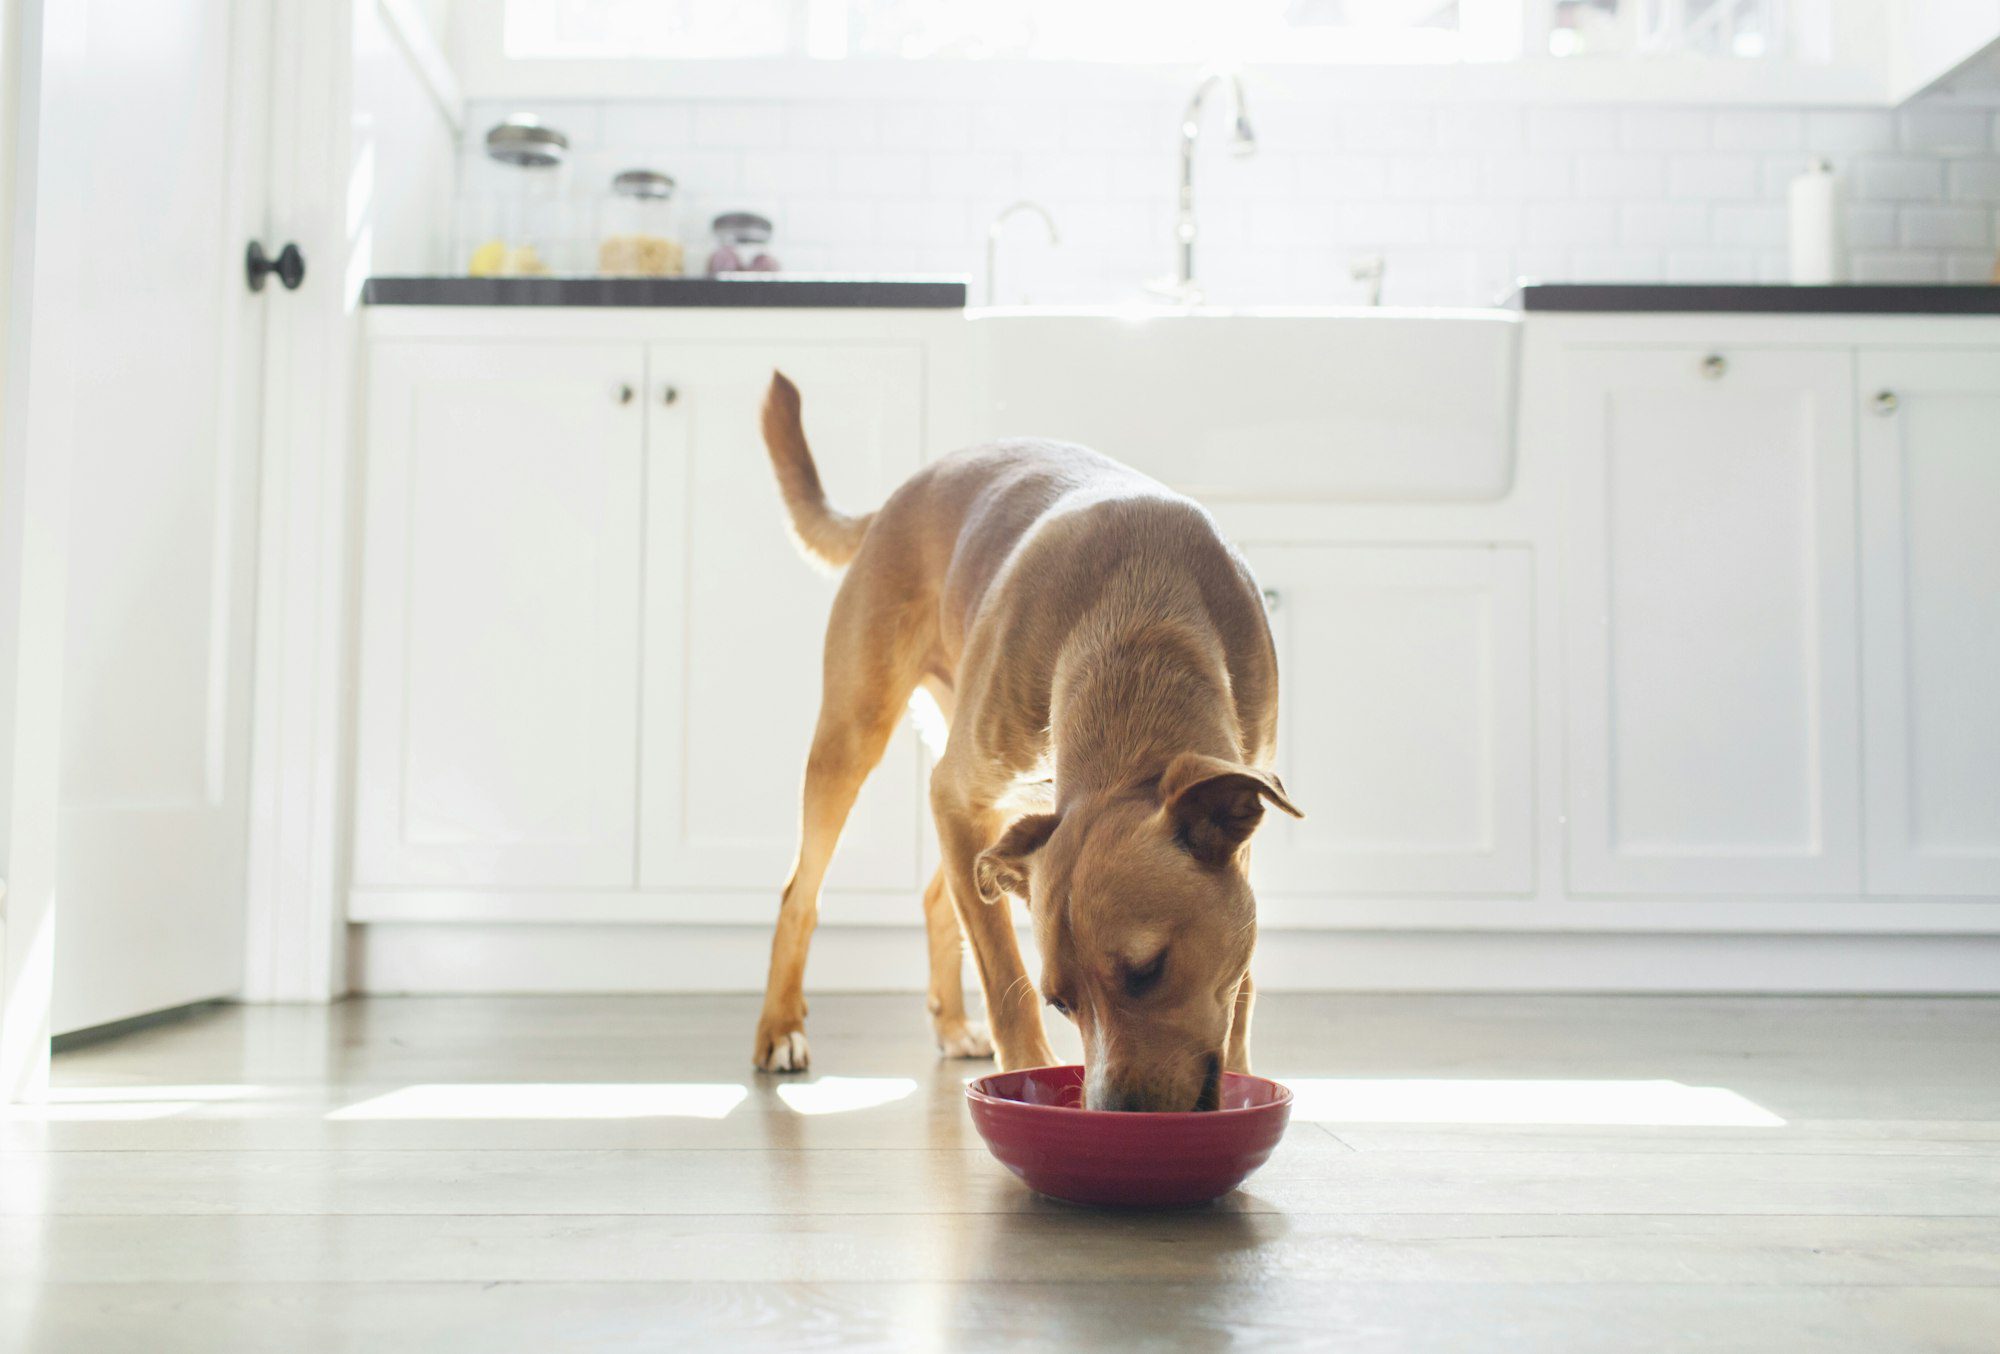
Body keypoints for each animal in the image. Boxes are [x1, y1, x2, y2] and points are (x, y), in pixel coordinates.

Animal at [752, 372, 1296, 1112]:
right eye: (1062, 1003)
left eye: (1149, 970)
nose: (1113, 1116)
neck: (1140, 627)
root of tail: (894, 499)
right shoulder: (957, 798)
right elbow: (1002, 975)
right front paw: (1024, 1079)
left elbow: (1239, 984)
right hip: (854, 738)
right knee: (800, 896)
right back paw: (780, 1028)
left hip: (1000, 811)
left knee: (938, 898)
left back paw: (951, 1025)